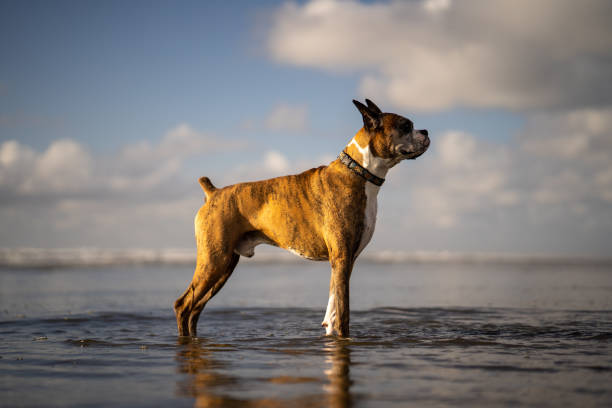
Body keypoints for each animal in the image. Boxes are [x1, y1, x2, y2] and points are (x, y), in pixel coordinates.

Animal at [175, 99, 428, 338]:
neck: (358, 171)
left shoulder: (344, 261)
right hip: (214, 261)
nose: (425, 131)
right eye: (405, 126)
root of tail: (213, 192)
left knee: (195, 309)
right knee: (184, 305)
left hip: (223, 265)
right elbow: (343, 313)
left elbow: (333, 308)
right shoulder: (342, 257)